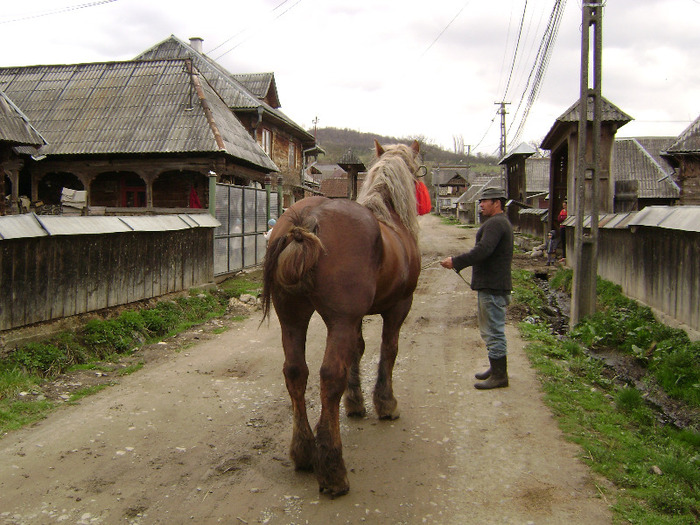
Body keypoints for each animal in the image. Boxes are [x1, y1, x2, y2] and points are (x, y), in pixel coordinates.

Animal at [262, 138, 422, 496]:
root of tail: (306, 218)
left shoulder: (355, 318)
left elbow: (358, 352)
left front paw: (356, 403)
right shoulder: (397, 308)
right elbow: (388, 351)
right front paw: (384, 403)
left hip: (292, 318)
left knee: (296, 373)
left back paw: (304, 452)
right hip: (339, 321)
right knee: (328, 376)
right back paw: (333, 469)